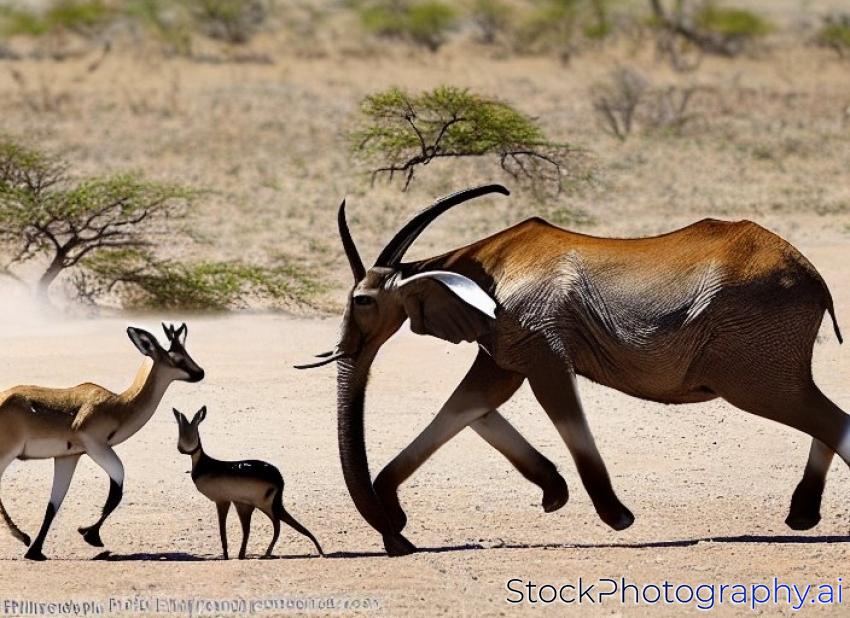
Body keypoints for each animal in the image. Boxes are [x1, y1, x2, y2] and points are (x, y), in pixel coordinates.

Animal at [0, 323, 204, 560]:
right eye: (176, 358)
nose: (200, 373)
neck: (118, 405)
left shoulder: (68, 457)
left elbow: (53, 504)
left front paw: (36, 551)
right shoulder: (96, 446)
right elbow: (117, 489)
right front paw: (90, 536)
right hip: (6, 454)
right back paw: (22, 536)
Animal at [174, 406, 323, 560]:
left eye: (191, 431)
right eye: (180, 430)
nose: (181, 449)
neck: (205, 464)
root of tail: (279, 479)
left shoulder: (222, 500)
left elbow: (222, 531)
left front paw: (225, 556)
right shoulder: (233, 502)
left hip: (263, 505)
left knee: (276, 525)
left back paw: (265, 553)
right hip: (250, 505)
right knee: (255, 529)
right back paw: (245, 554)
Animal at [297, 184, 846, 556]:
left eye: (363, 301)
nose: (399, 540)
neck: (466, 262)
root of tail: (815, 276)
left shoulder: (536, 334)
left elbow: (553, 402)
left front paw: (617, 518)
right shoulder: (505, 338)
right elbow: (471, 402)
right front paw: (552, 495)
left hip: (751, 363)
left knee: (827, 417)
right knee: (827, 412)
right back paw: (801, 516)